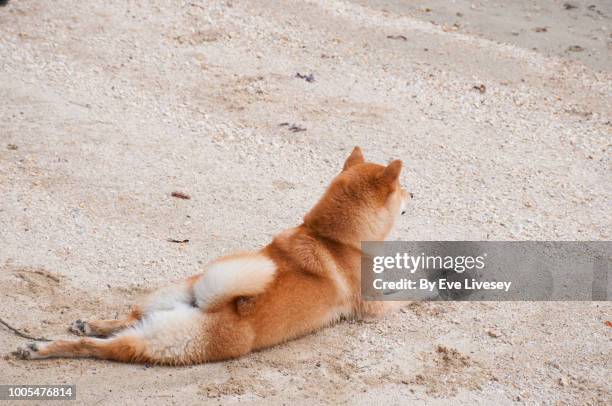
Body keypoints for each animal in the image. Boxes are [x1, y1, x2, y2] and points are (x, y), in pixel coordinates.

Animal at [14, 147, 412, 364]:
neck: (330, 238)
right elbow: (409, 294)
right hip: (168, 345)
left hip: (160, 309)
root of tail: (212, 304)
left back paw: (74, 331)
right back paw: (43, 349)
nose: (414, 195)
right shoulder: (373, 306)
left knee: (122, 322)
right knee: (103, 349)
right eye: (403, 189)